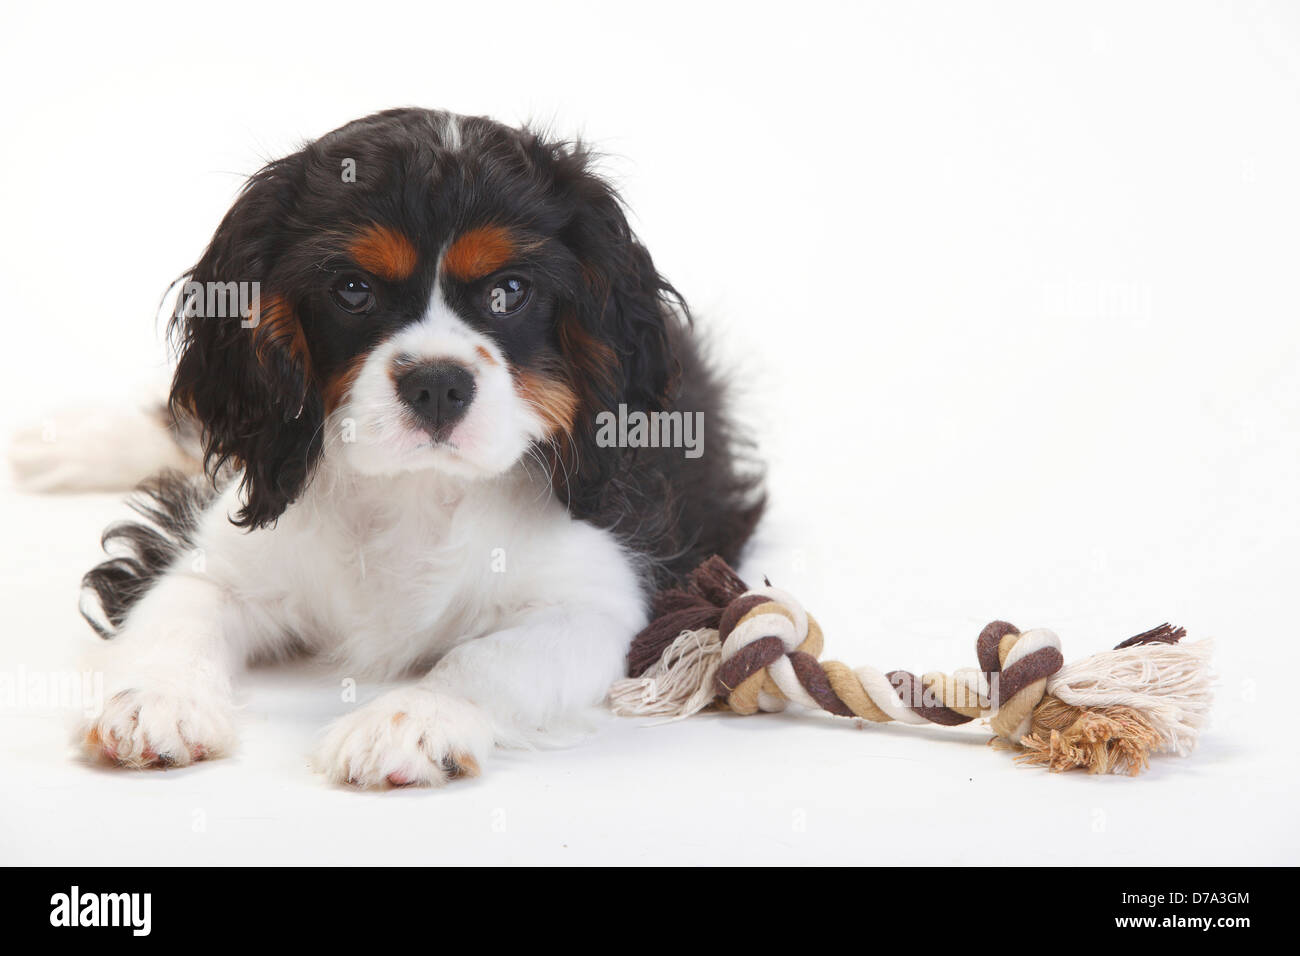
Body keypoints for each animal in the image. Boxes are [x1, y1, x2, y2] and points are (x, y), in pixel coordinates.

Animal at [68, 108, 759, 790]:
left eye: (510, 291)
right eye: (352, 290)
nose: (438, 384)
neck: (416, 487)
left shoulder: (595, 607)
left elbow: (486, 659)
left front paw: (410, 720)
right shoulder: (221, 565)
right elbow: (179, 613)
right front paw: (154, 700)